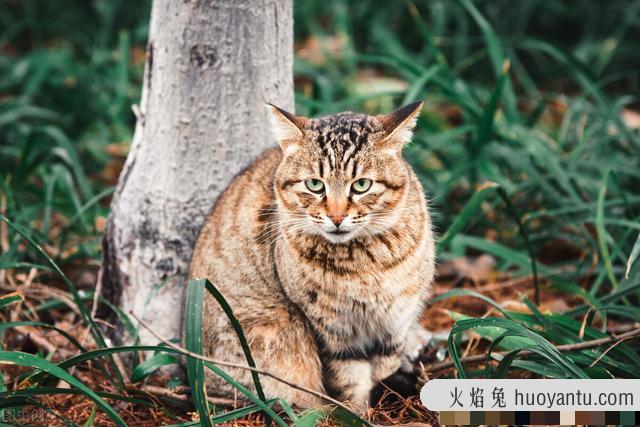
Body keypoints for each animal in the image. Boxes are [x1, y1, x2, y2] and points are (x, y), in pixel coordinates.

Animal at [190, 101, 438, 412]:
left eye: (362, 185)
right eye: (315, 185)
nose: (336, 216)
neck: (364, 265)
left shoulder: (396, 321)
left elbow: (386, 362)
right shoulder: (331, 330)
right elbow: (350, 380)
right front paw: (358, 413)